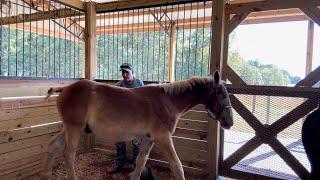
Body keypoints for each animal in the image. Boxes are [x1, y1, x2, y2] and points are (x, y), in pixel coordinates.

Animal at [41, 71, 234, 180]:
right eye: (223, 95)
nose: (229, 122)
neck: (168, 101)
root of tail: (65, 88)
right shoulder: (163, 138)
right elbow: (177, 167)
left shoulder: (149, 139)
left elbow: (140, 163)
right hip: (74, 128)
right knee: (68, 154)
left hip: (68, 128)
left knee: (53, 146)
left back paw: (46, 175)